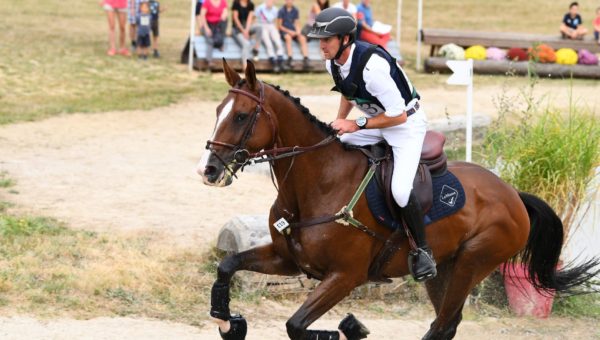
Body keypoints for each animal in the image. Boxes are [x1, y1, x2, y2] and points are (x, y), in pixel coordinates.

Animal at [196, 59, 596, 338]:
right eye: (216, 112)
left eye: (242, 116)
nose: (208, 170)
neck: (318, 184)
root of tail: (512, 193)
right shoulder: (288, 260)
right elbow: (227, 264)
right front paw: (228, 320)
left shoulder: (345, 276)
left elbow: (296, 325)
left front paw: (351, 328)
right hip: (444, 270)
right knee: (446, 322)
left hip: (473, 262)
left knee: (443, 324)